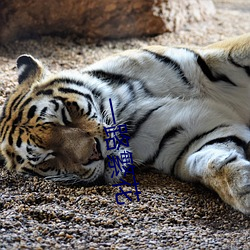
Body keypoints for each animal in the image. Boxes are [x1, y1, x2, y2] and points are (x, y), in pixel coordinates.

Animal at [0, 32, 250, 213]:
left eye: (65, 115)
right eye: (48, 158)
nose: (95, 153)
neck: (125, 106)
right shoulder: (187, 138)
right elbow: (211, 162)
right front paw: (243, 188)